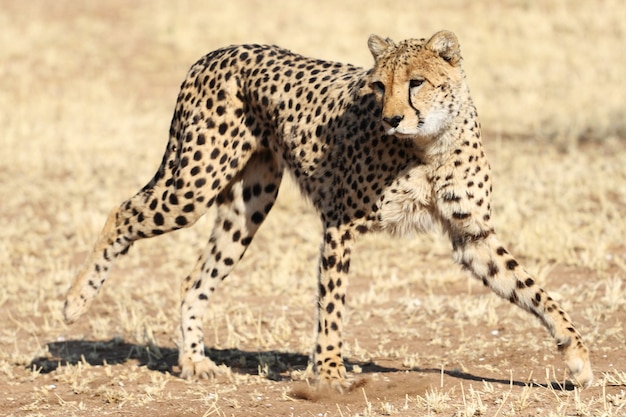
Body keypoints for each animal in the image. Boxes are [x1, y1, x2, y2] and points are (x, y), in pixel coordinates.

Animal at [63, 30, 588, 388]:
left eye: (417, 83)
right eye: (377, 86)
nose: (391, 118)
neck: (430, 146)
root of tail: (218, 51)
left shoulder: (471, 235)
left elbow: (531, 287)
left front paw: (576, 354)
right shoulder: (341, 222)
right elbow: (331, 304)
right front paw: (331, 372)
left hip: (247, 206)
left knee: (195, 279)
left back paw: (193, 360)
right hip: (193, 184)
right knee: (122, 212)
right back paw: (74, 302)